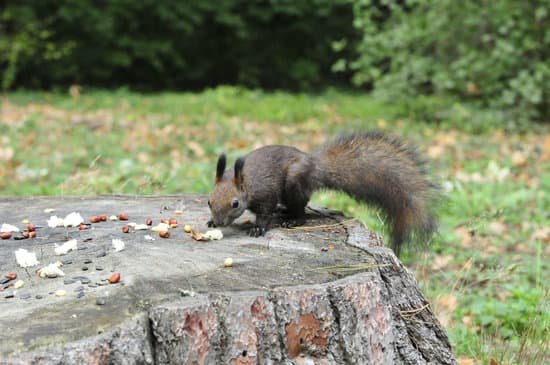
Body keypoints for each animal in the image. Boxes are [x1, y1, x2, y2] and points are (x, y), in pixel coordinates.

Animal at [207, 132, 440, 255]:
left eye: (235, 204)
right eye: (209, 201)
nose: (218, 222)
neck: (246, 182)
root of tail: (315, 167)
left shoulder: (266, 196)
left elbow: (264, 215)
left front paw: (258, 228)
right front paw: (209, 222)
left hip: (294, 184)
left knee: (301, 209)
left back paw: (292, 220)